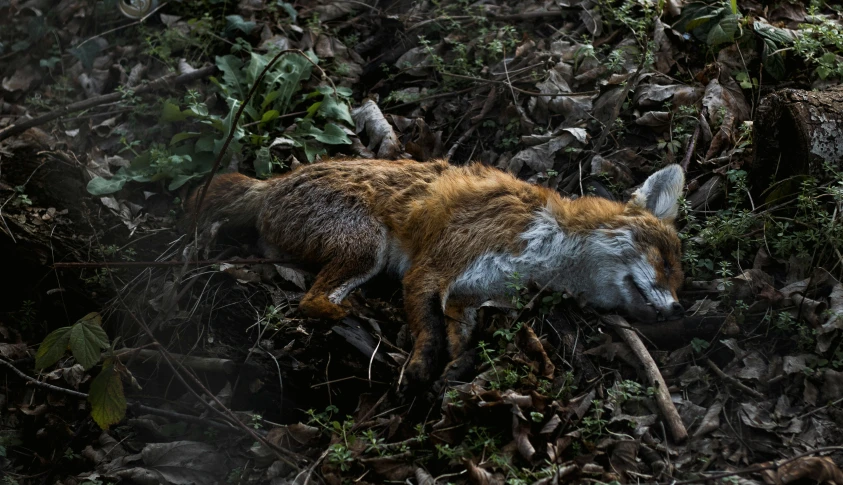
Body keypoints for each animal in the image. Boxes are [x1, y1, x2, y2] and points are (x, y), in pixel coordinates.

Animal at [185, 159, 684, 390]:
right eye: (665, 263)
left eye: (679, 280)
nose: (675, 310)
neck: (547, 247)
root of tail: (273, 182)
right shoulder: (433, 269)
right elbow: (428, 330)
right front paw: (421, 366)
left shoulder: (471, 290)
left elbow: (461, 335)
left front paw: (456, 368)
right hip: (366, 249)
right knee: (310, 301)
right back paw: (360, 319)